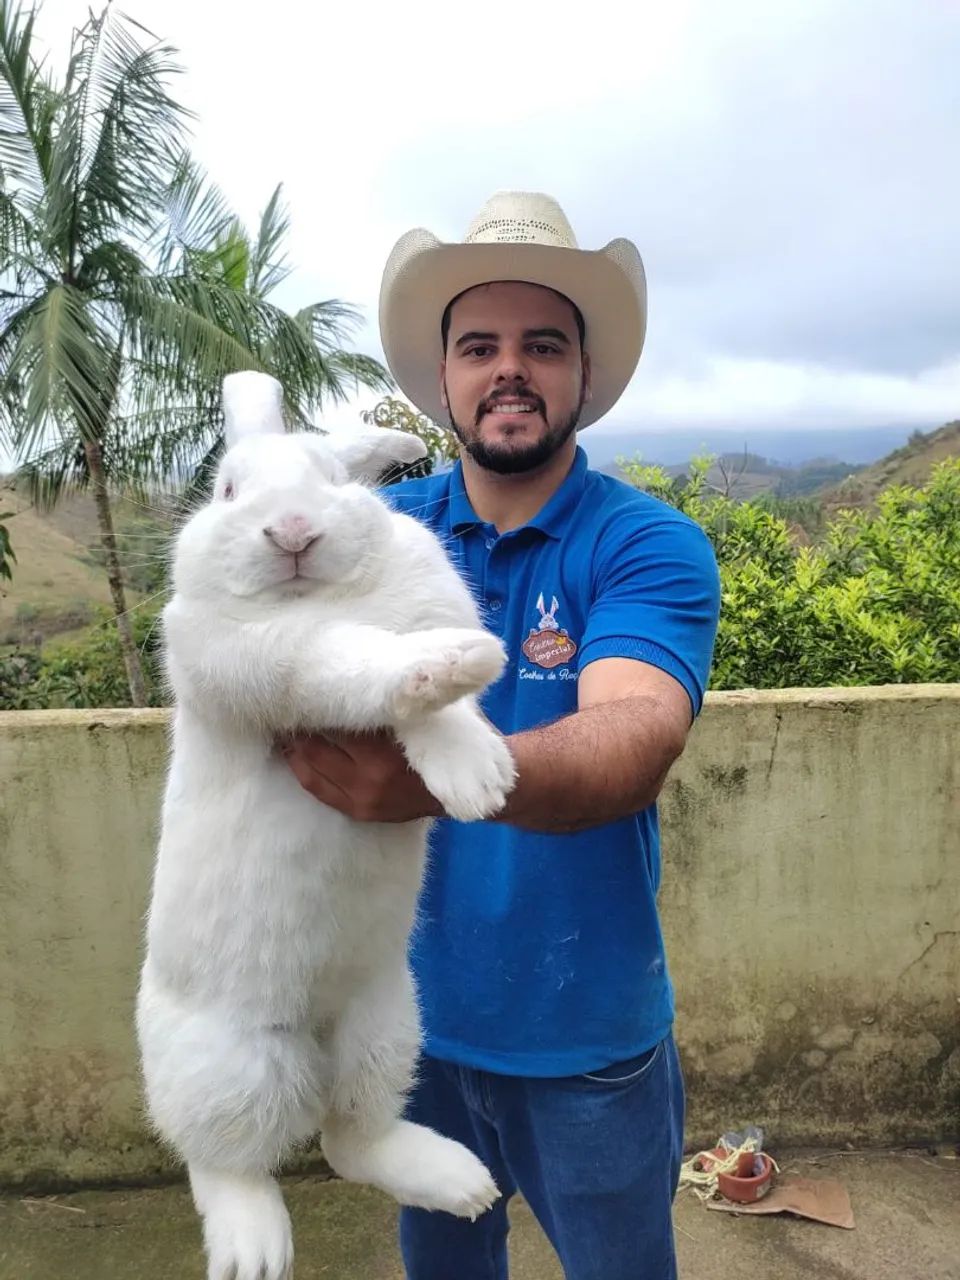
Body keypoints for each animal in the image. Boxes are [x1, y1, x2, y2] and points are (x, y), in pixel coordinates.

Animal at [136, 371, 516, 1280]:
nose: (294, 532)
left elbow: (435, 713)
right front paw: (462, 664)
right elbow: (363, 666)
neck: (322, 594)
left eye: (333, 480)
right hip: (235, 1068)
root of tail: (310, 1033)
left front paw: (477, 771)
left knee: (352, 1141)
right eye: (228, 491)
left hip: (386, 1028)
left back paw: (461, 1182)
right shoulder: (278, 660)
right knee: (221, 1161)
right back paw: (253, 1249)